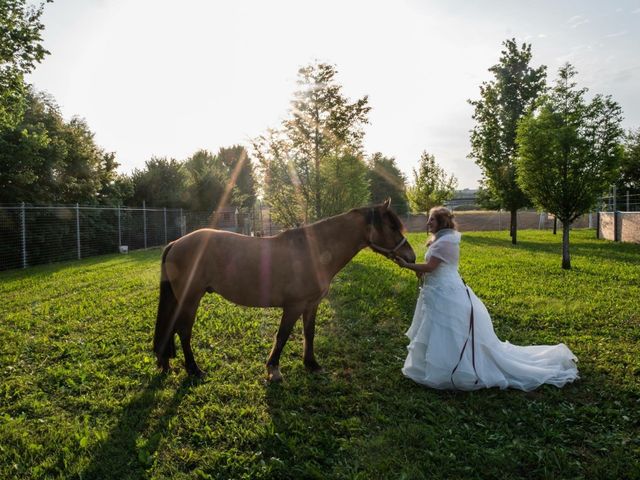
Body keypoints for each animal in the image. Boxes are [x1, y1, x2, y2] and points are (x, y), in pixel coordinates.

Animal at [153, 197, 418, 380]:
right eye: (392, 227)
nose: (411, 257)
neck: (313, 251)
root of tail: (176, 243)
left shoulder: (311, 304)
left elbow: (309, 333)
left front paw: (311, 364)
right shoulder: (294, 306)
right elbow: (282, 336)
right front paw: (274, 370)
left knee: (172, 328)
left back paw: (166, 362)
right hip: (191, 298)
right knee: (184, 331)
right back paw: (194, 370)